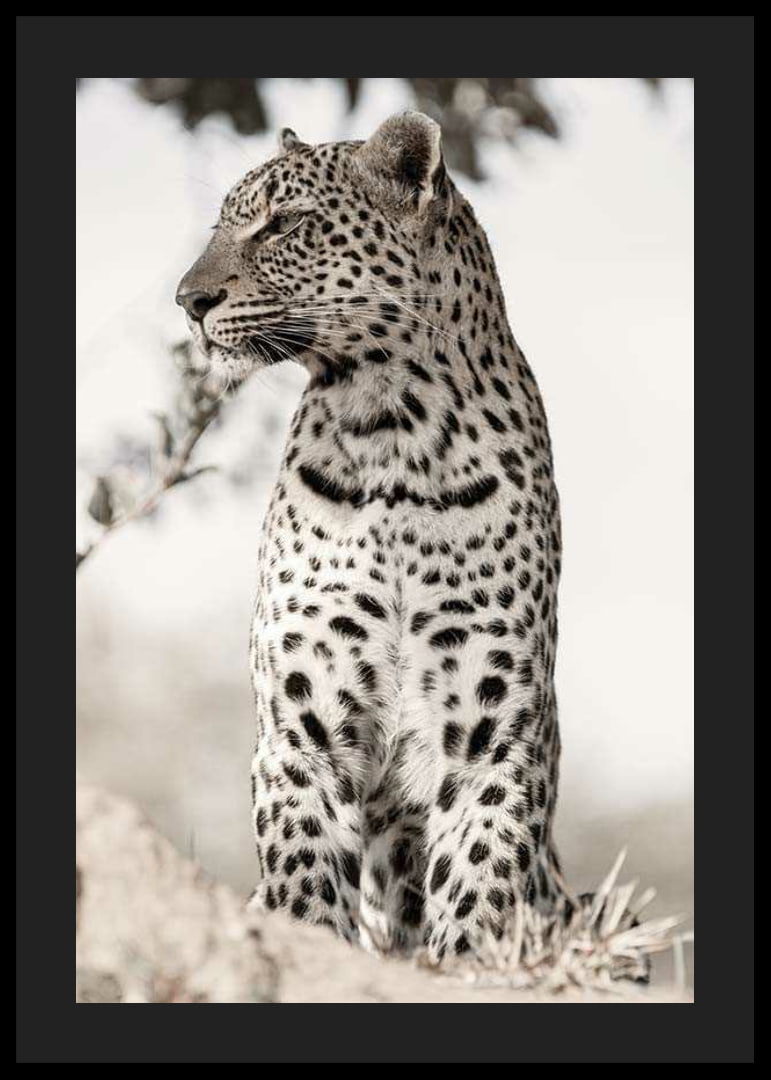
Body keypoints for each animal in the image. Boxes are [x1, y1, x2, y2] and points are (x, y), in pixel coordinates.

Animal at [177, 112, 565, 964]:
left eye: (283, 224)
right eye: (223, 223)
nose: (187, 300)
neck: (392, 429)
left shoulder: (491, 737)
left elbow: (477, 888)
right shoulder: (302, 726)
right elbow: (303, 882)